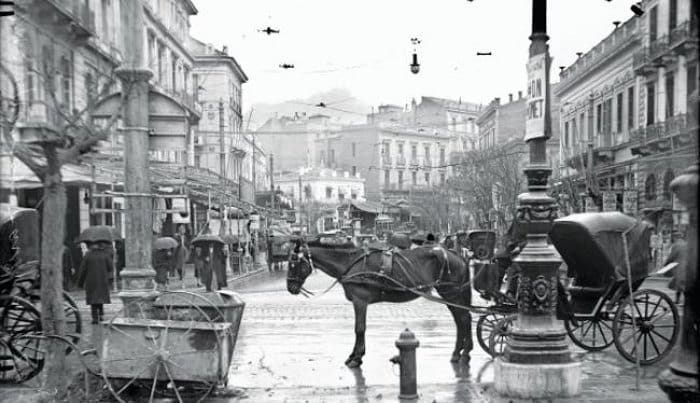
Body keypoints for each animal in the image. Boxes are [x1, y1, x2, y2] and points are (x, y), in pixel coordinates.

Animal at [288, 237, 474, 370]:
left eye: (293, 264)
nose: (290, 288)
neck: (351, 263)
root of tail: (455, 253)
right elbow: (359, 328)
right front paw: (355, 355)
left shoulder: (360, 301)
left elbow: (359, 328)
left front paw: (356, 358)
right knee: (462, 319)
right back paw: (463, 352)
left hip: (451, 293)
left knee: (463, 318)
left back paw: (461, 353)